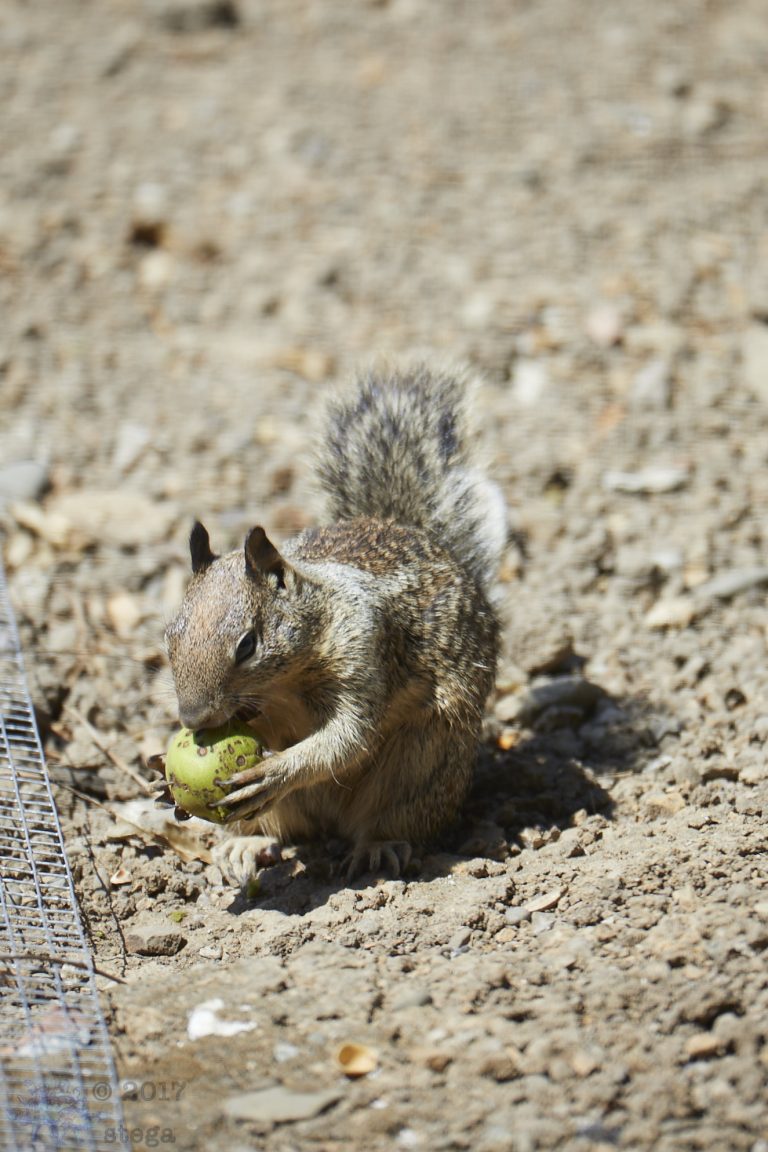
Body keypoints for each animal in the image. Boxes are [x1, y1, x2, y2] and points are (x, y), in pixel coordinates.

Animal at [164, 364, 507, 884]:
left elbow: (347, 739)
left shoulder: (367, 650)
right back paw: (244, 846)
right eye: (169, 639)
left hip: (423, 766)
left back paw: (379, 848)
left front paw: (276, 772)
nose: (192, 720)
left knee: (395, 817)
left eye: (247, 646)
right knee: (281, 830)